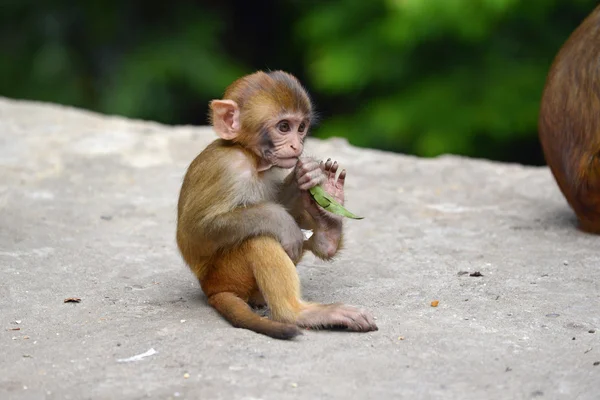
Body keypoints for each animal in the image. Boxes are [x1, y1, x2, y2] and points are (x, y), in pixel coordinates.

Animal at [176, 70, 378, 340]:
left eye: (301, 127)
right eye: (284, 127)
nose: (297, 145)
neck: (251, 158)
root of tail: (211, 288)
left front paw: (306, 176)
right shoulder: (226, 169)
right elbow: (195, 231)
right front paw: (281, 221)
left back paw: (328, 231)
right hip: (227, 273)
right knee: (259, 240)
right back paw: (298, 313)